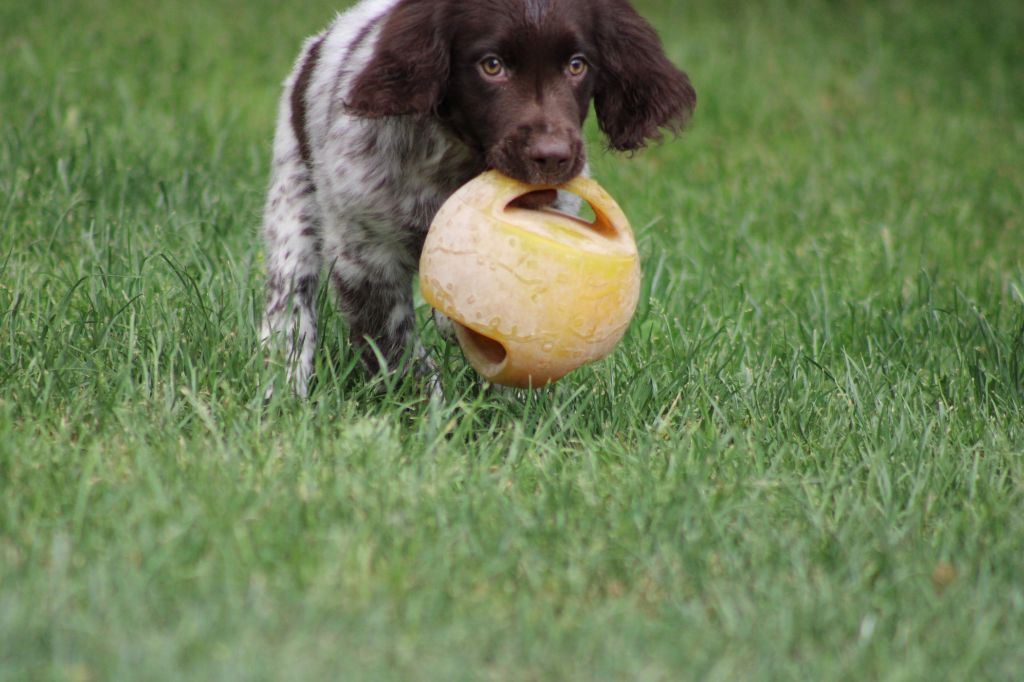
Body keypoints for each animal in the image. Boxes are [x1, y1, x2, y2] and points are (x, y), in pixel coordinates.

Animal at [264, 0, 696, 395]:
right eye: (492, 66)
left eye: (577, 66)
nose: (552, 157)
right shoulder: (366, 256)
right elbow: (396, 348)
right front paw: (430, 412)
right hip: (292, 201)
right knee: (289, 306)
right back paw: (284, 392)